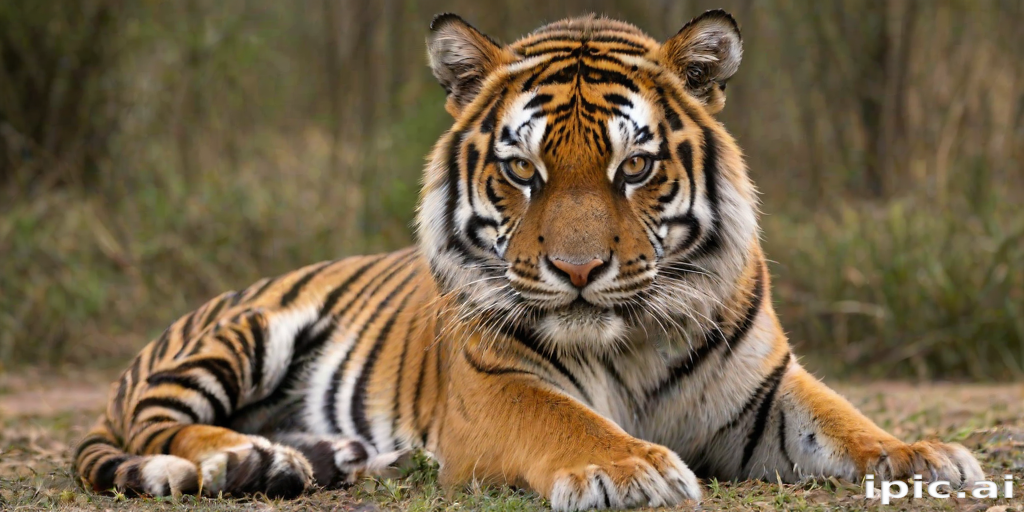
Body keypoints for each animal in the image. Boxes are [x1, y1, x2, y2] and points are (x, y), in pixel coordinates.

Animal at [73, 10, 985, 511]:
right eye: (522, 170)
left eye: (635, 167)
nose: (578, 272)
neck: (630, 341)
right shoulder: (498, 387)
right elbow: (568, 420)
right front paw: (631, 470)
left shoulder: (765, 390)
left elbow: (847, 421)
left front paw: (923, 456)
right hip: (237, 335)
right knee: (157, 423)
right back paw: (241, 457)